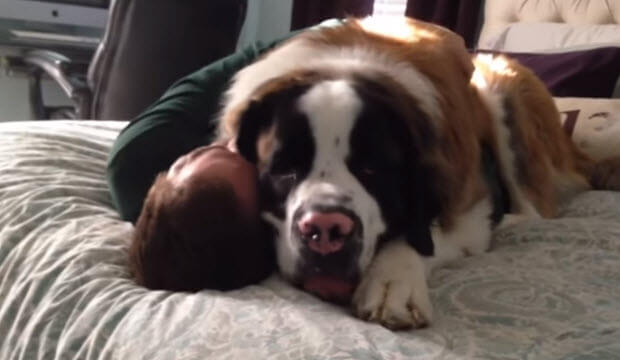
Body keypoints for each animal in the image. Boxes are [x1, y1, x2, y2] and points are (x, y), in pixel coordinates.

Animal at [216, 18, 616, 330]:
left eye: (372, 168)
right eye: (284, 170)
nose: (326, 228)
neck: (343, 67)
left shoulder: (468, 211)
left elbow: (421, 235)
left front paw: (393, 282)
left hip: (503, 89)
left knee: (536, 207)